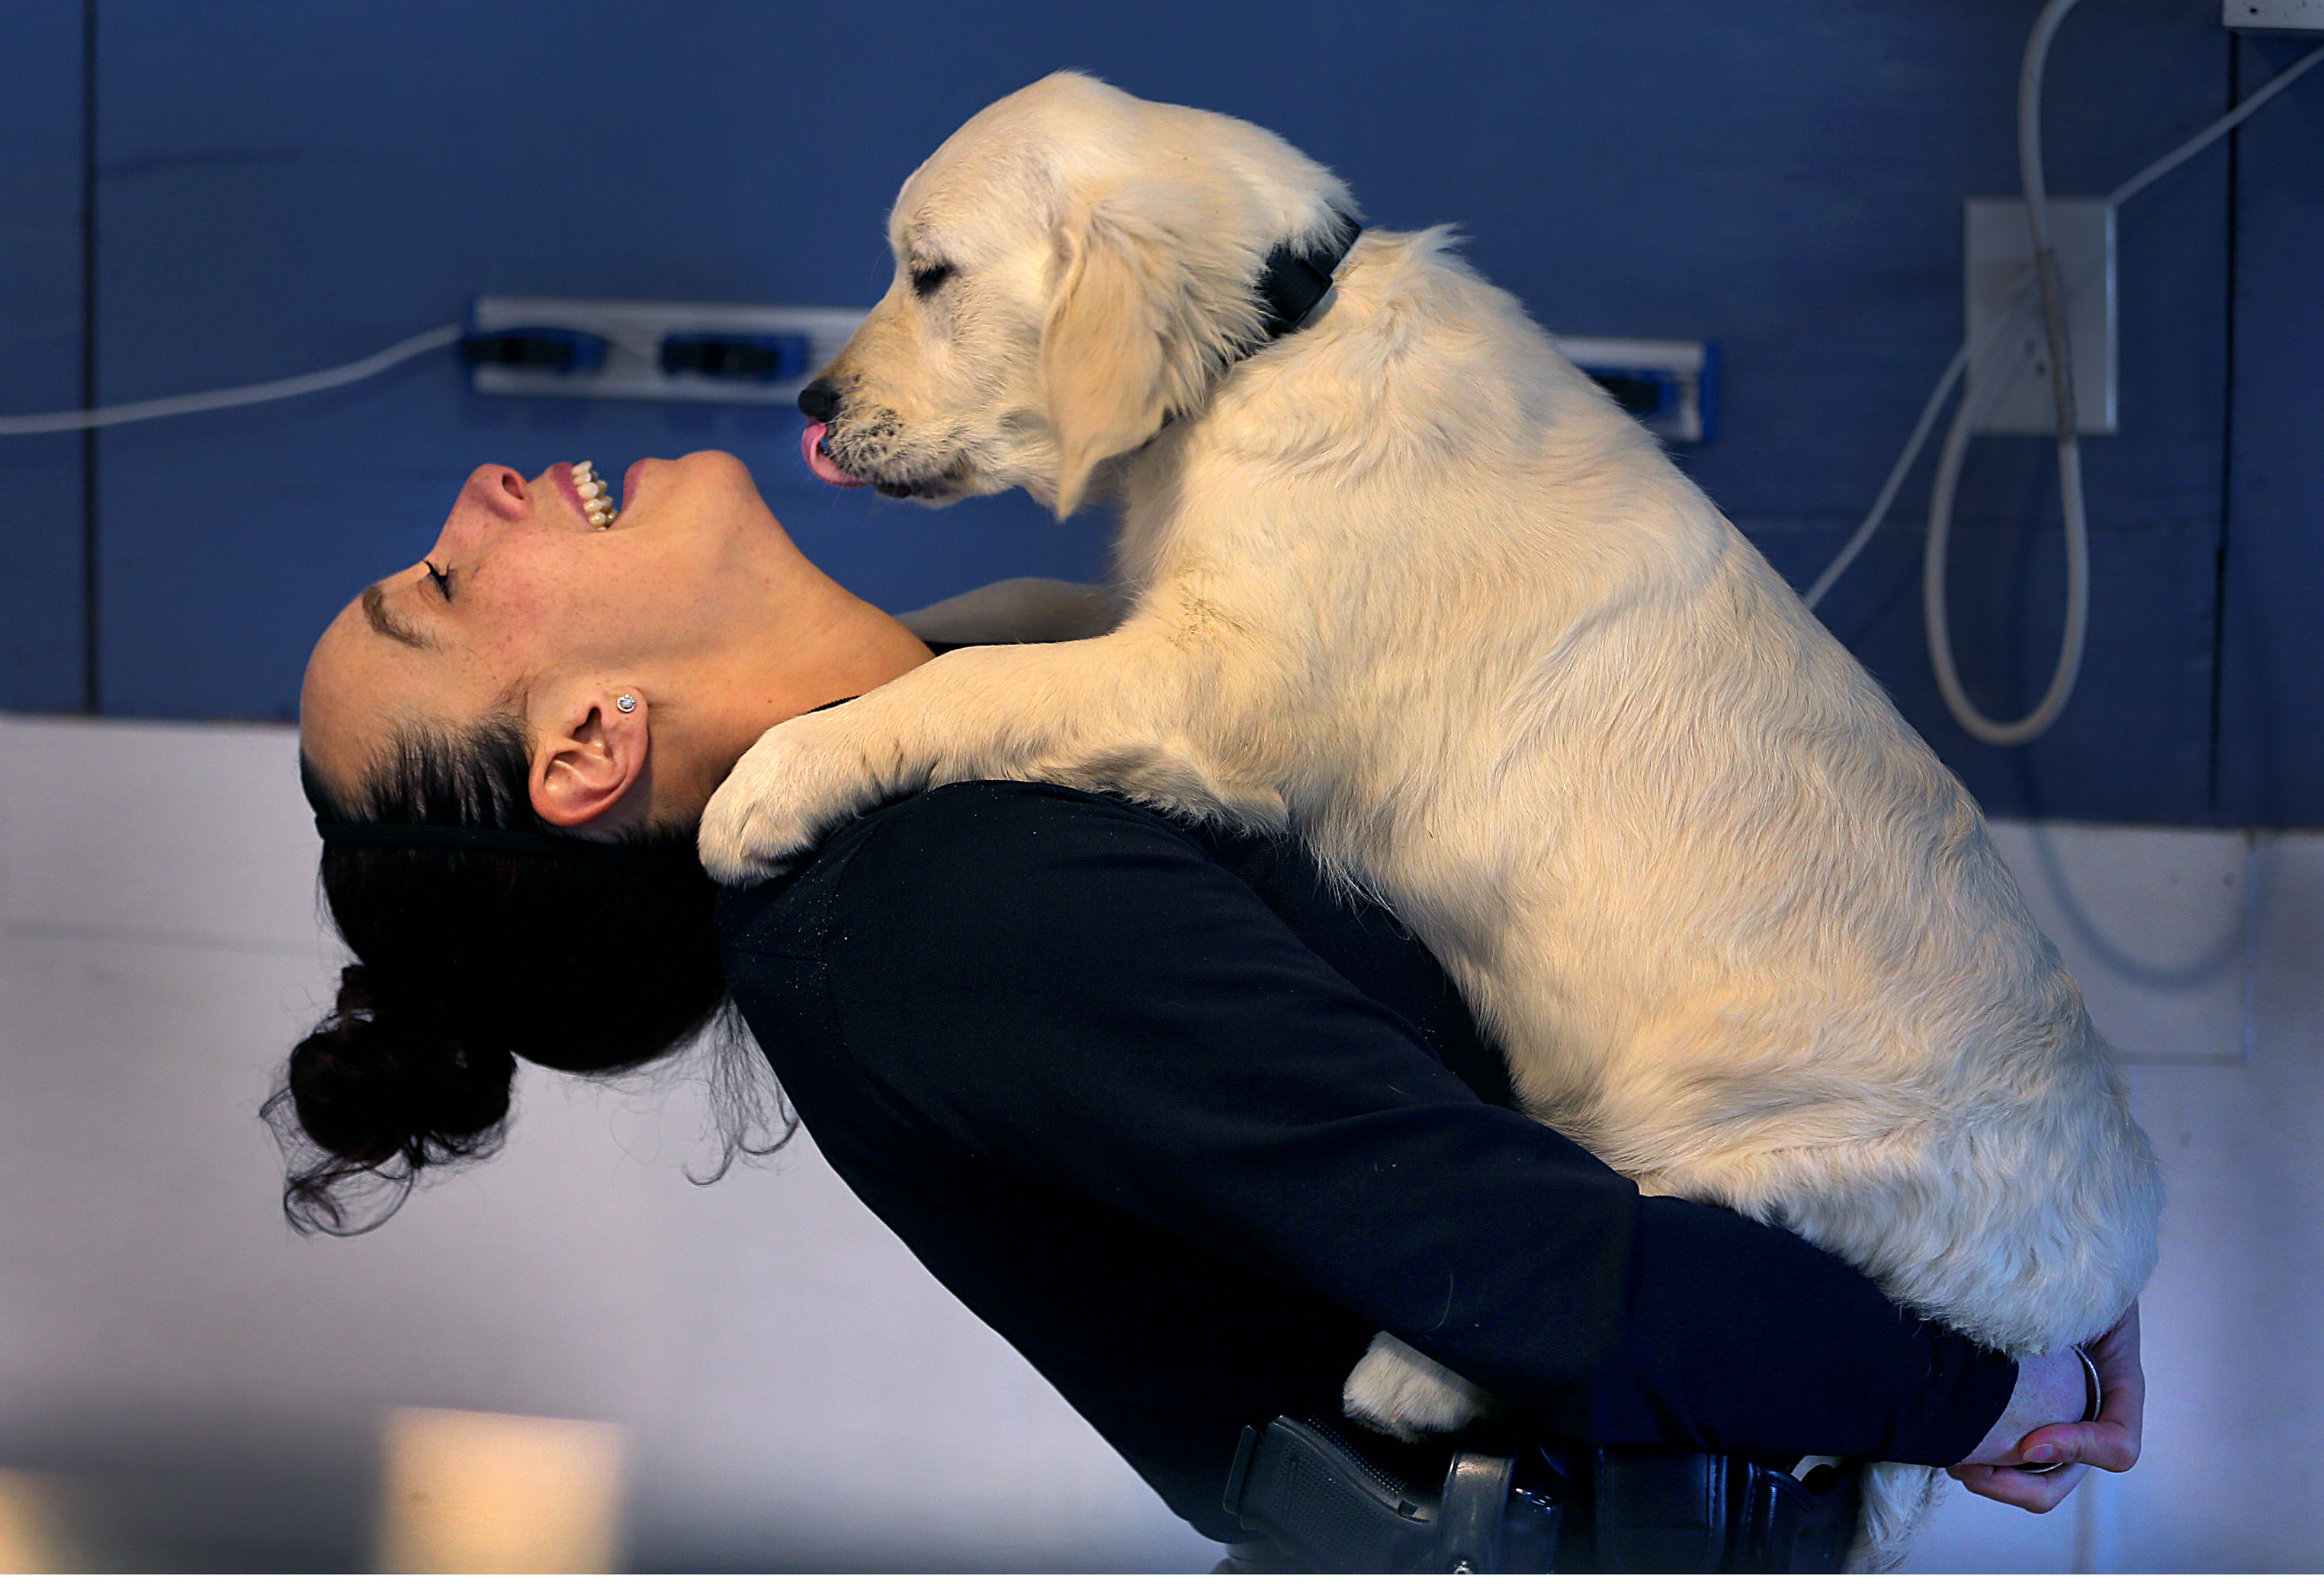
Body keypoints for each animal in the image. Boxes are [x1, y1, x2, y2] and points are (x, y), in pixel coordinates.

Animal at [697, 74, 2165, 1561]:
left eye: (930, 273)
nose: (814, 401)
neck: (1275, 337)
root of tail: (2100, 1271)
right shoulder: (1159, 618)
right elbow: (997, 614)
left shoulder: (1210, 682)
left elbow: (982, 679)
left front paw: (774, 770)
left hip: (1794, 1153)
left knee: (1654, 1233)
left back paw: (1411, 1371)